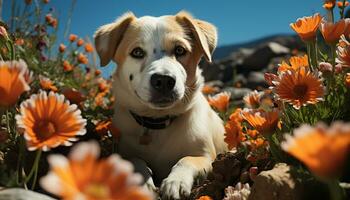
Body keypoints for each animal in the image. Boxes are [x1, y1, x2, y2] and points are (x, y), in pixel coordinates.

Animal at [94, 11, 226, 200]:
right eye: (137, 52)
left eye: (180, 50)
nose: (163, 80)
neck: (157, 122)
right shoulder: (123, 152)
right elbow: (135, 161)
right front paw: (142, 182)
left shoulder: (206, 156)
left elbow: (186, 160)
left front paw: (176, 182)